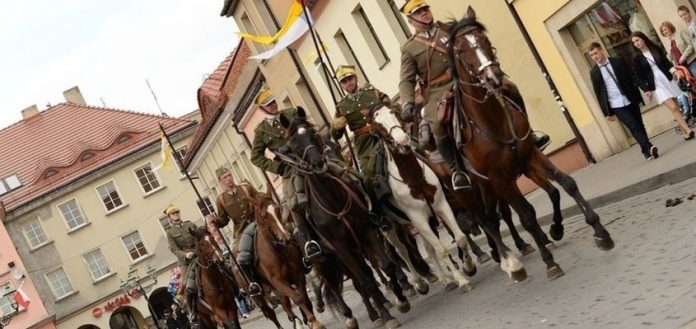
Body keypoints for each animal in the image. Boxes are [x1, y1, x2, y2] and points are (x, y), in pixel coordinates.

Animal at [245, 187, 326, 328]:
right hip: (259, 295)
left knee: (285, 304)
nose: (286, 237)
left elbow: (303, 297)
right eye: (265, 215)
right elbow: (298, 298)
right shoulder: (278, 281)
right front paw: (313, 321)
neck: (278, 250)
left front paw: (311, 319)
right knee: (271, 311)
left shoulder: (297, 274)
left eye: (278, 209)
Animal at [278, 107, 408, 328]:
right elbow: (365, 280)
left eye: (313, 134)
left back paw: (375, 310)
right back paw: (352, 315)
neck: (333, 201)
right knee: (336, 284)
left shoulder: (366, 232)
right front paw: (386, 316)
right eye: (293, 143)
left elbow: (386, 265)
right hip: (323, 261)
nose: (318, 163)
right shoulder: (341, 247)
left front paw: (400, 299)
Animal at [444, 6, 612, 280]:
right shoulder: (500, 177)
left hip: (487, 186)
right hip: (466, 193)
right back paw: (510, 262)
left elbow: (565, 184)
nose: (493, 77)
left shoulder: (529, 156)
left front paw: (598, 231)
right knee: (484, 220)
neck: (493, 120)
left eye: (484, 40)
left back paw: (508, 253)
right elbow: (526, 216)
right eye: (460, 49)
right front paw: (549, 262)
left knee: (492, 217)